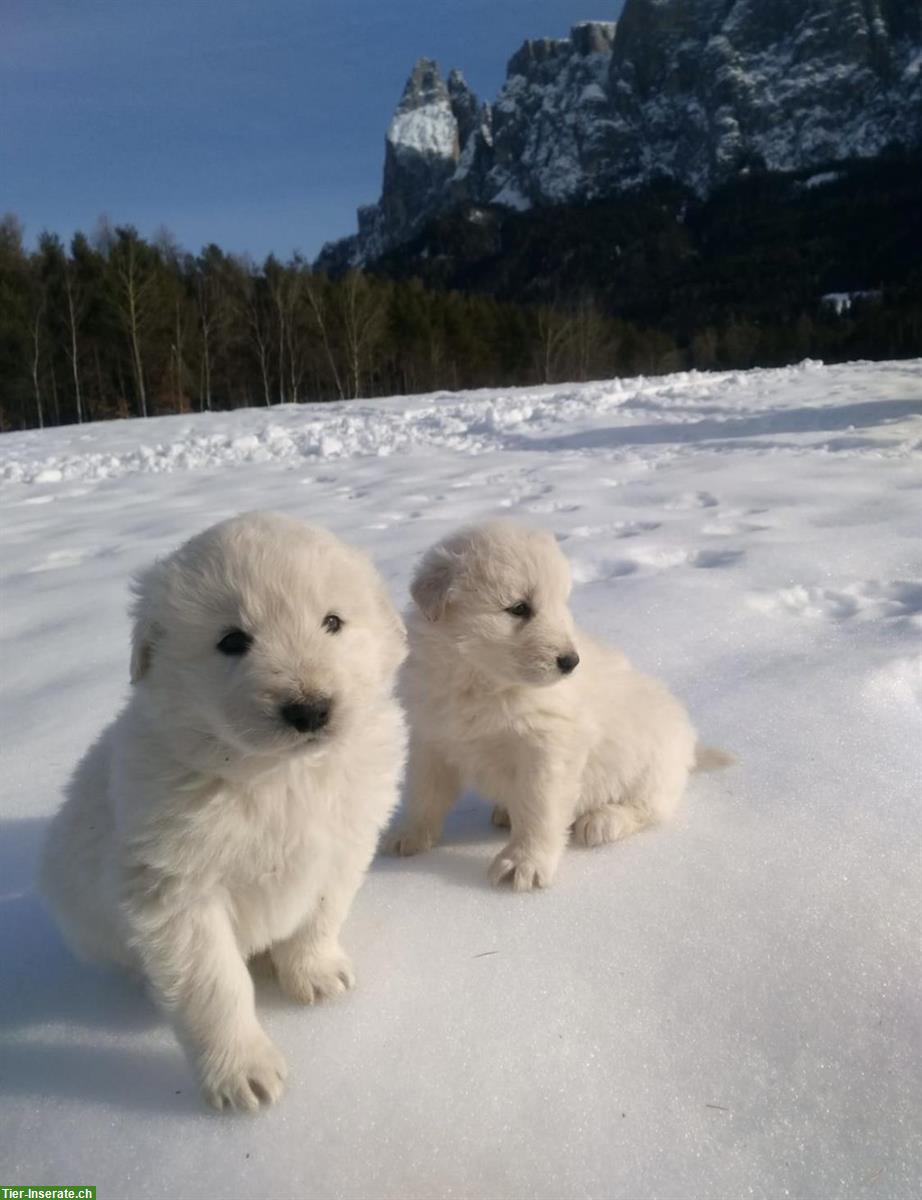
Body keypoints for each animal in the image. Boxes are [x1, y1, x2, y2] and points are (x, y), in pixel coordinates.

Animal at [39, 511, 408, 1108]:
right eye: (232, 640)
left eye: (333, 622)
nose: (310, 709)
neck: (280, 776)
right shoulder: (177, 893)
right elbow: (213, 986)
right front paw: (243, 1075)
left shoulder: (343, 844)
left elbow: (319, 914)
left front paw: (316, 974)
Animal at [384, 520, 729, 897]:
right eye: (519, 608)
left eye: (560, 603)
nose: (570, 661)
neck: (482, 682)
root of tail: (689, 746)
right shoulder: (431, 739)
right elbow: (425, 795)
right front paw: (409, 836)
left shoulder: (548, 748)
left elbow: (539, 809)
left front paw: (523, 863)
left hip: (652, 767)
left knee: (650, 808)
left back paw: (604, 820)